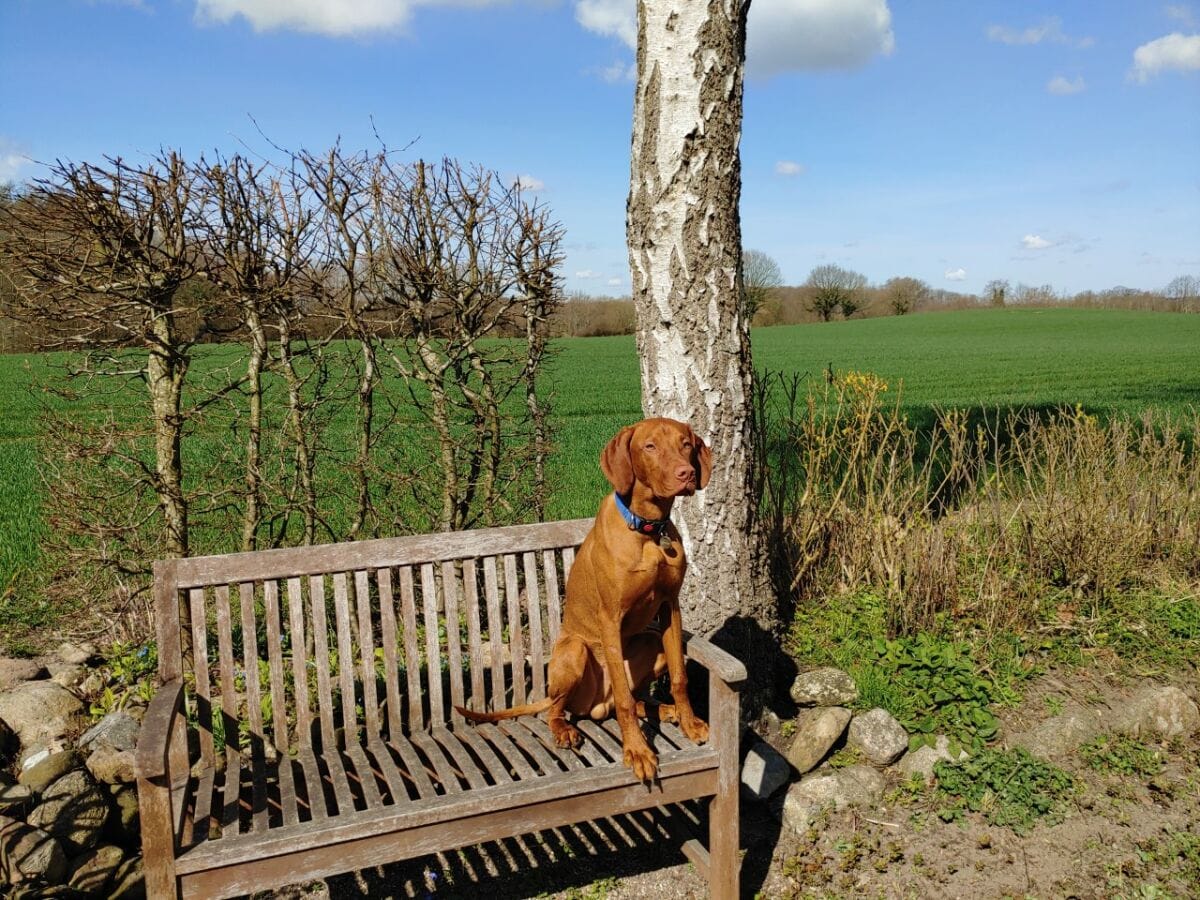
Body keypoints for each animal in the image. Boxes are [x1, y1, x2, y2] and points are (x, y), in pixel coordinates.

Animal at [453, 422, 705, 782]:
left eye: (686, 444)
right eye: (650, 446)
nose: (686, 473)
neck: (648, 531)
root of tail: (596, 706)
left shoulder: (670, 607)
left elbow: (679, 677)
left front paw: (689, 722)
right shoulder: (610, 617)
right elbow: (625, 701)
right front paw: (638, 751)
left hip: (651, 642)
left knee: (627, 698)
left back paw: (662, 710)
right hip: (574, 652)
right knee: (562, 707)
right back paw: (564, 730)